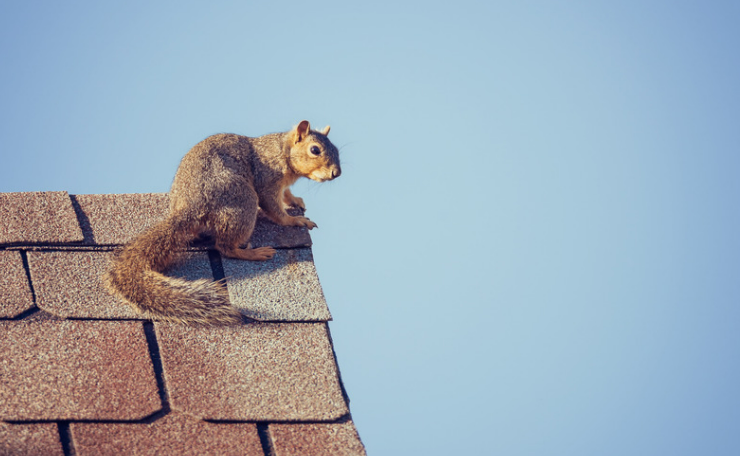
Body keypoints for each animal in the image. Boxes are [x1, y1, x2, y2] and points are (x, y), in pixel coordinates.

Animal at [104, 120, 341, 325]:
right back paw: (253, 253)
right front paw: (294, 220)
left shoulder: (282, 185)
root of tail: (191, 207)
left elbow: (287, 195)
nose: (336, 173)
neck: (282, 150)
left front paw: (296, 201)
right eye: (315, 150)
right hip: (243, 201)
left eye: (337, 149)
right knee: (225, 247)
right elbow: (274, 208)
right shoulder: (267, 179)